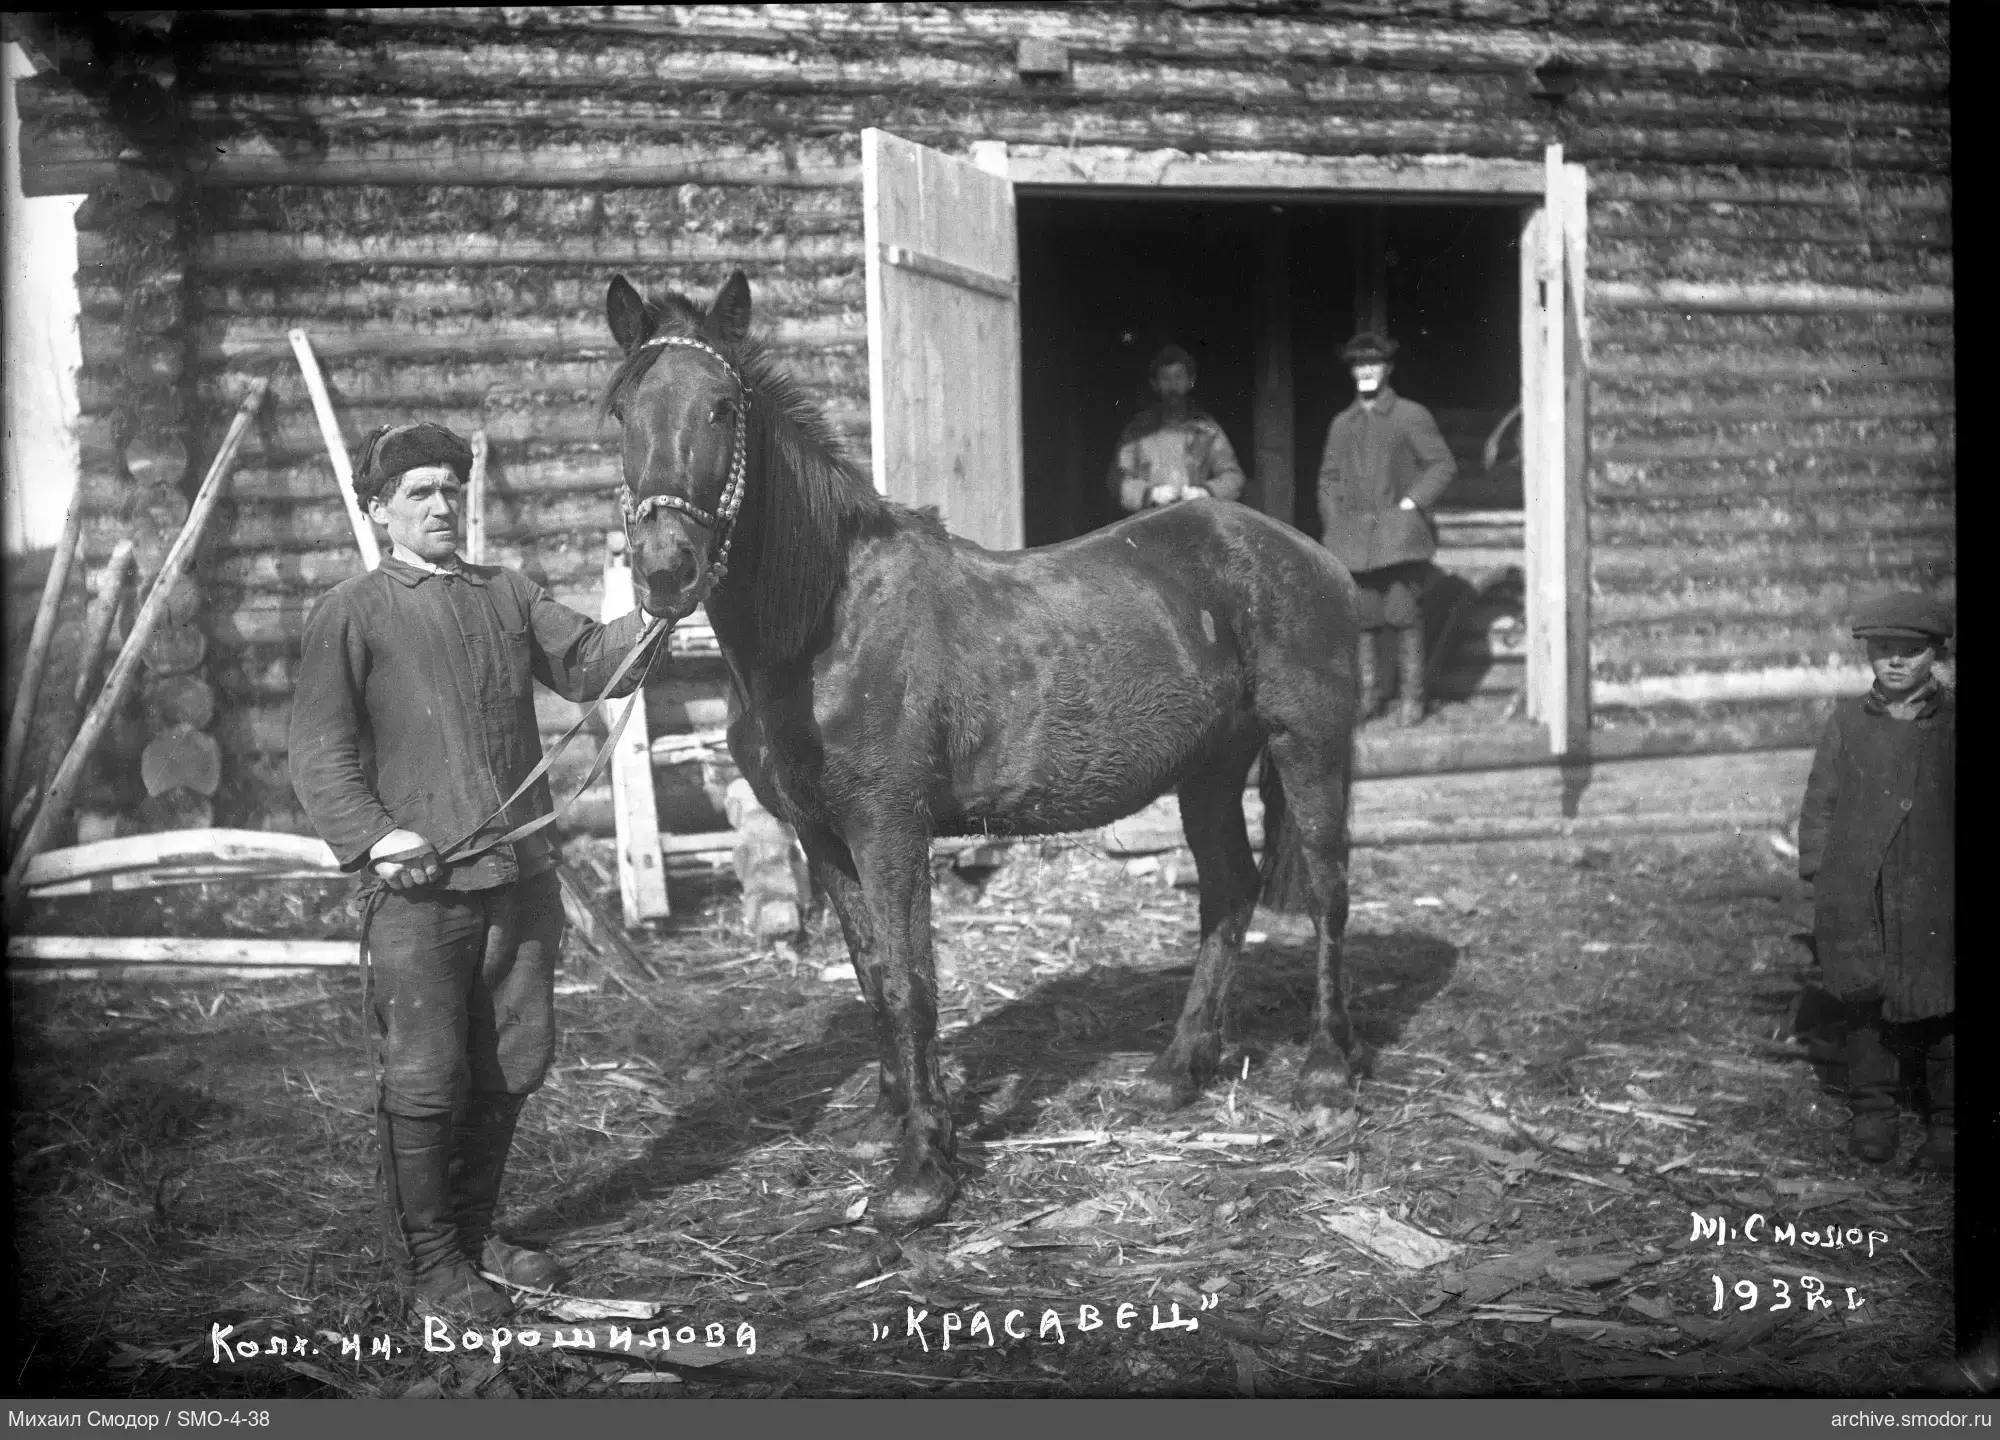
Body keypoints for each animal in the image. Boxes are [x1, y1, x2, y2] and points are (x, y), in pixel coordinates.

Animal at [604, 270, 1363, 1227]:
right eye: (620, 408)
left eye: (722, 406)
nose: (666, 569)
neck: (826, 621)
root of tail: (1309, 556)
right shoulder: (822, 835)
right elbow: (872, 976)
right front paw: (890, 1122)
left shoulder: (889, 829)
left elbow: (911, 980)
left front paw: (924, 1168)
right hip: (1210, 771)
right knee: (1229, 891)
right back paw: (1174, 1073)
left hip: (1309, 750)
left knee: (1329, 894)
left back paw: (1325, 1075)